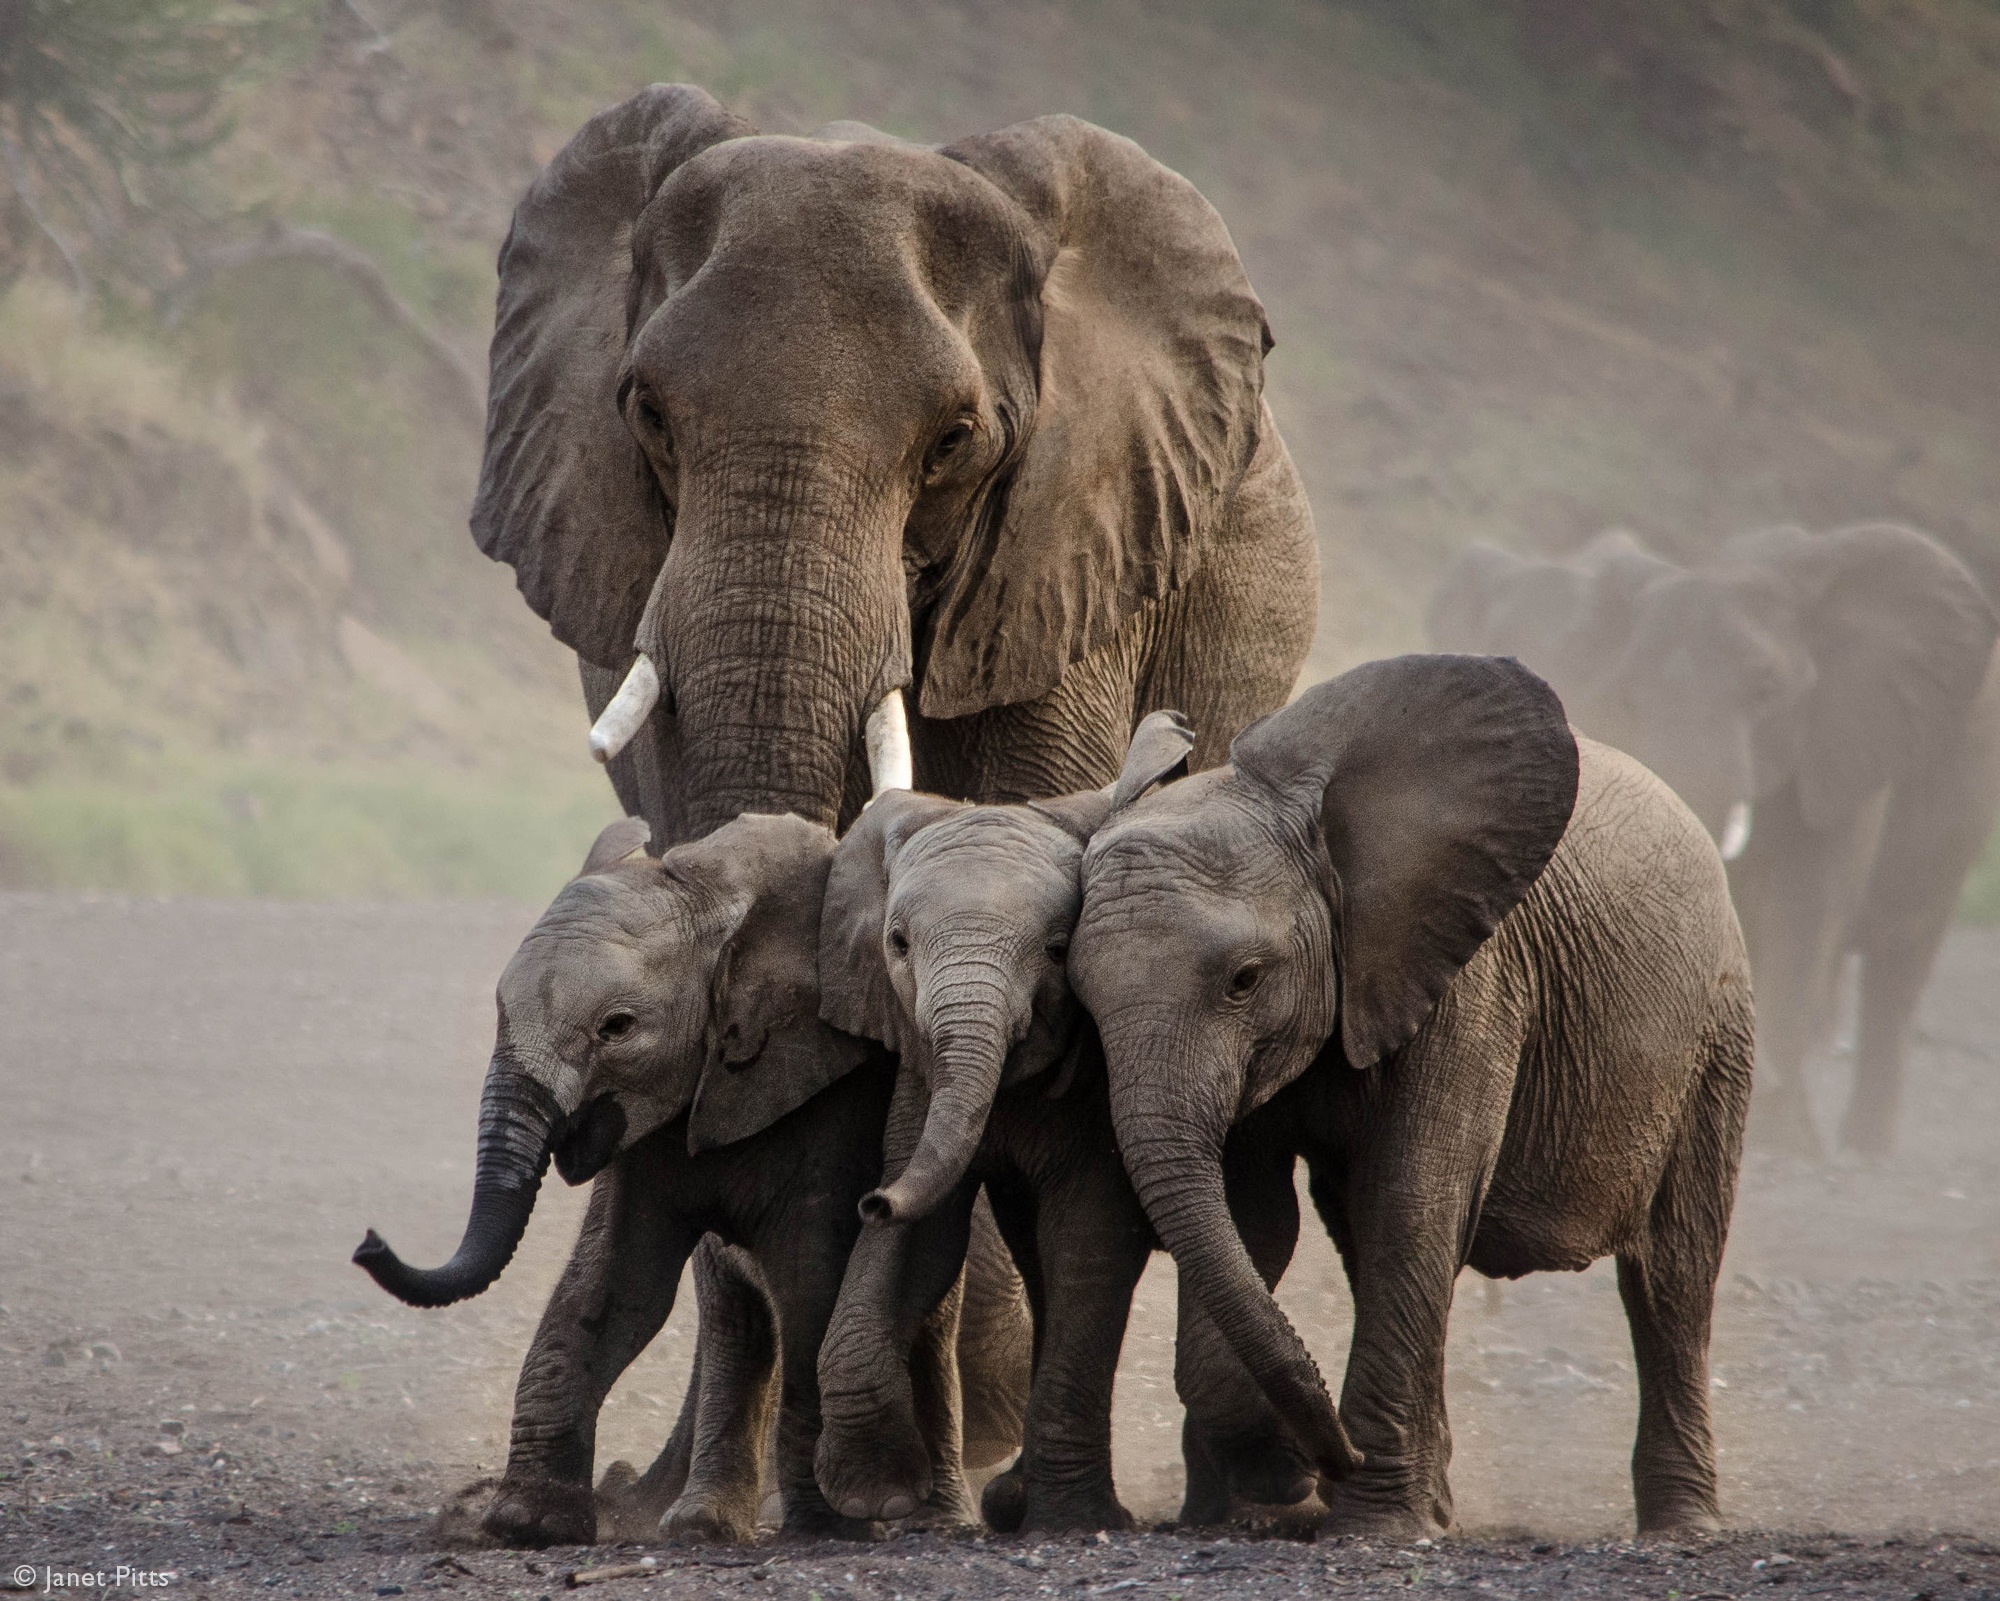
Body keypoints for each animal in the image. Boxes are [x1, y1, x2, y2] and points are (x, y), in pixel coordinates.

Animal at [353, 812, 1026, 1543]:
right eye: (500, 1012)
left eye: (616, 1027)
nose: (368, 1242)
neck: (710, 895)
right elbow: (616, 1283)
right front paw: (529, 1523)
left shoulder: (834, 1103)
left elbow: (811, 1282)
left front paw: (832, 1528)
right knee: (738, 1319)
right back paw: (703, 1524)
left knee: (913, 1317)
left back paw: (929, 1519)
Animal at [1069, 655, 1756, 1538]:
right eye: (1081, 999)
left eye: (1244, 980)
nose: (1334, 1459)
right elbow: (1256, 1218)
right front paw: (1291, 1482)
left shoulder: (1473, 982)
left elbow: (1413, 1196)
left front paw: (1366, 1521)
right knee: (1363, 1242)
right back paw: (1436, 1506)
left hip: (1716, 1030)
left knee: (1672, 1274)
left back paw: (1683, 1525)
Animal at [1427, 524, 2000, 1155]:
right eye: (1630, 696)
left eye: (1767, 690)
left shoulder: (1840, 744)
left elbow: (1804, 908)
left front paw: (1783, 1135)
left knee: (1900, 958)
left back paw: (1863, 1149)